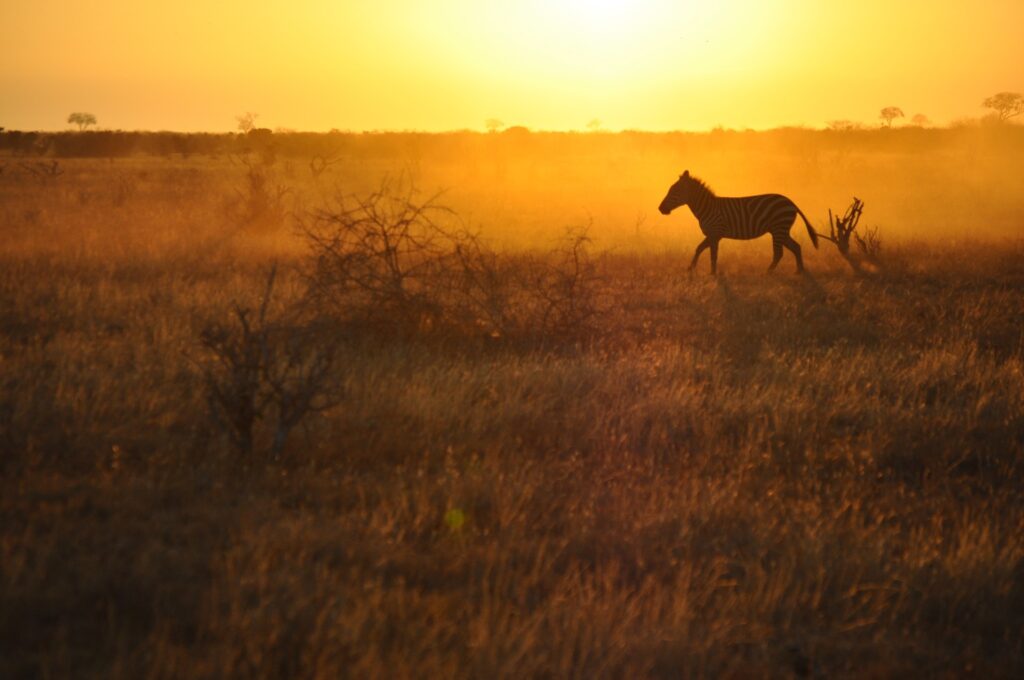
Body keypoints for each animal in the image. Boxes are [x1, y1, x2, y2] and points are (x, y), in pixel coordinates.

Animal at [658, 171, 819, 274]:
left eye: (674, 191)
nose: (660, 209)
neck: (707, 208)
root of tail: (790, 202)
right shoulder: (711, 234)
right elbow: (699, 249)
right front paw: (691, 268)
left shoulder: (715, 233)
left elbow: (713, 255)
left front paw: (713, 274)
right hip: (780, 230)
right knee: (796, 247)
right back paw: (799, 271)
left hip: (779, 229)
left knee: (779, 253)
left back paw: (768, 272)